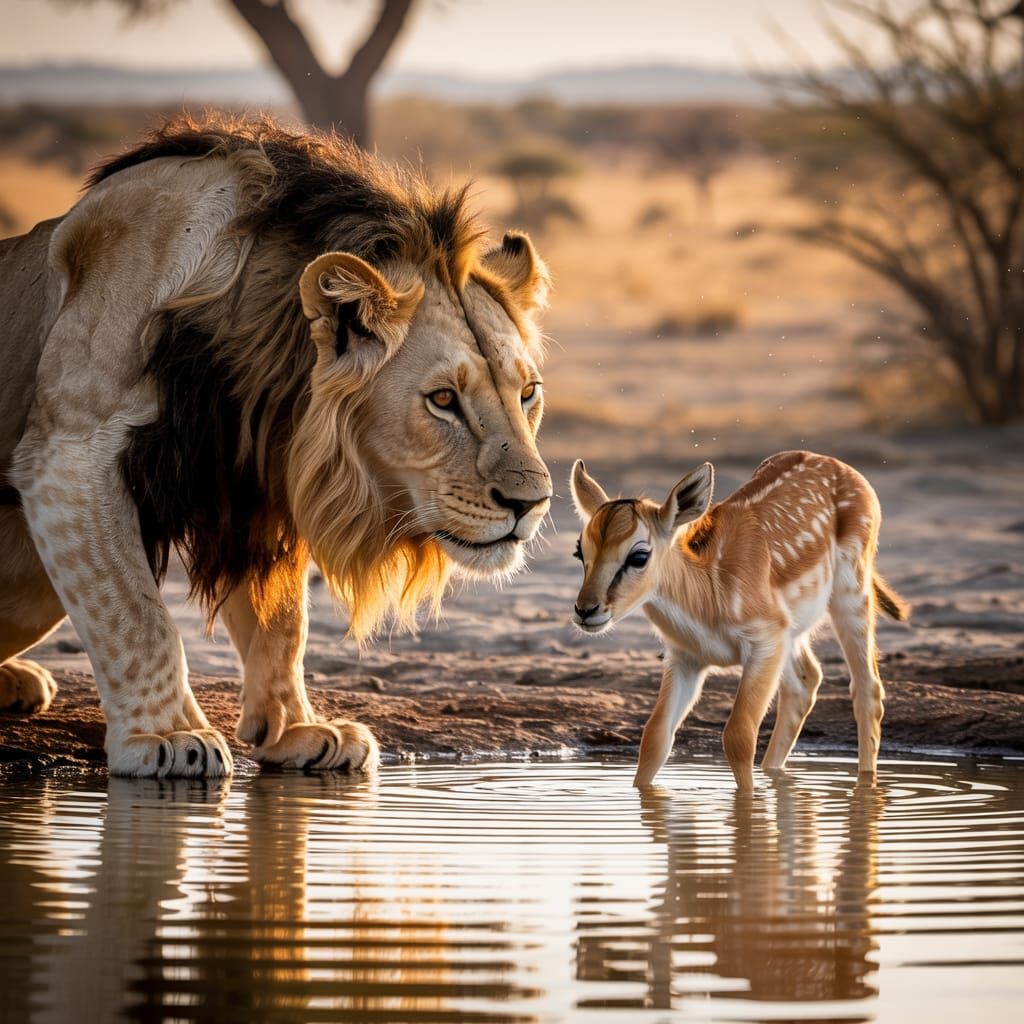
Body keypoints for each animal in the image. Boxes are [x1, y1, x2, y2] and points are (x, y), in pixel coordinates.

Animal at [0, 115, 553, 778]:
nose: (533, 504)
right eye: (443, 399)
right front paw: (168, 736)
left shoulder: (263, 480)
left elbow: (283, 622)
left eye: (527, 394)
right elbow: (137, 614)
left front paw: (297, 729)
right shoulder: (71, 448)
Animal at [569, 451, 909, 790]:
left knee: (868, 690)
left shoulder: (763, 644)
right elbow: (655, 737)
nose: (586, 610)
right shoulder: (685, 657)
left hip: (851, 596)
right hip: (792, 634)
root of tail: (836, 465)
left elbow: (738, 735)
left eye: (639, 555)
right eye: (580, 551)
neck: (710, 591)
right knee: (806, 681)